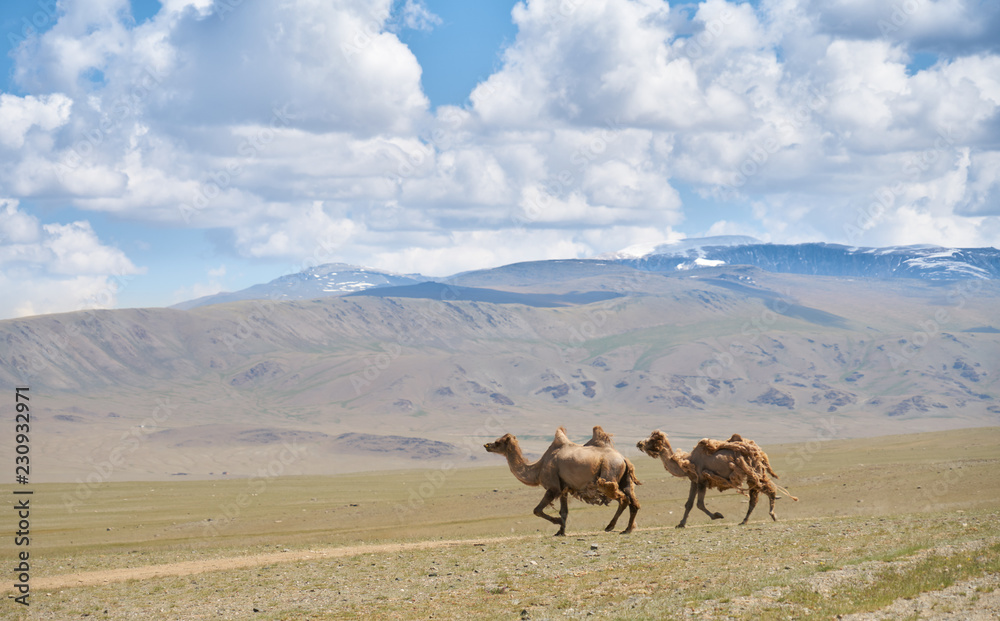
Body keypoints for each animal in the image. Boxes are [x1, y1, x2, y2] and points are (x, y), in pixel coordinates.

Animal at [484, 424, 640, 536]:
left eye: (498, 442)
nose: (486, 445)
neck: (538, 468)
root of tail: (623, 459)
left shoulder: (553, 487)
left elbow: (537, 510)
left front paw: (558, 523)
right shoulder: (564, 488)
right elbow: (563, 511)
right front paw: (561, 531)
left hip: (608, 475)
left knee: (623, 499)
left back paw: (610, 526)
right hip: (625, 479)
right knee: (633, 501)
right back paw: (627, 529)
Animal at [640, 432, 796, 528]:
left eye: (652, 440)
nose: (639, 443)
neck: (686, 462)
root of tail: (759, 451)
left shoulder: (701, 480)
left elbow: (699, 504)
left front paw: (717, 515)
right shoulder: (694, 480)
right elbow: (689, 504)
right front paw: (681, 523)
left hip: (754, 471)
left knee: (767, 490)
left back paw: (770, 515)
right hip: (754, 473)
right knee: (757, 495)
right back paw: (745, 520)